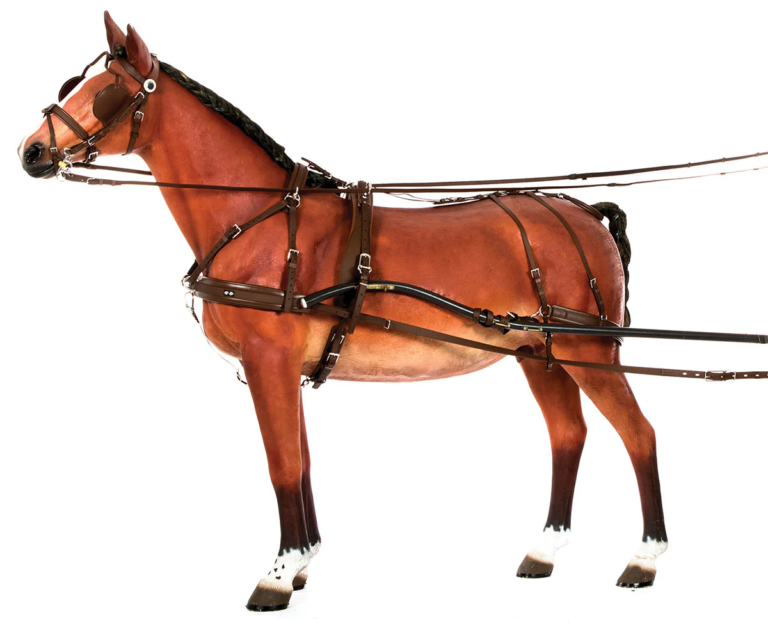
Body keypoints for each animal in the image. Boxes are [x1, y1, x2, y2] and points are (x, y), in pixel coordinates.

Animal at [18, 12, 666, 611]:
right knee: (568, 435)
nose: (31, 151)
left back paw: (644, 560)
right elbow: (301, 462)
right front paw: (303, 565)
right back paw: (544, 551)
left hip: (586, 349)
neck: (265, 222)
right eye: (75, 82)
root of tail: (586, 214)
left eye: (107, 90)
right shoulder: (284, 370)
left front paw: (277, 576)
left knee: (639, 433)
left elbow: (281, 464)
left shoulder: (268, 362)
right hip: (538, 352)